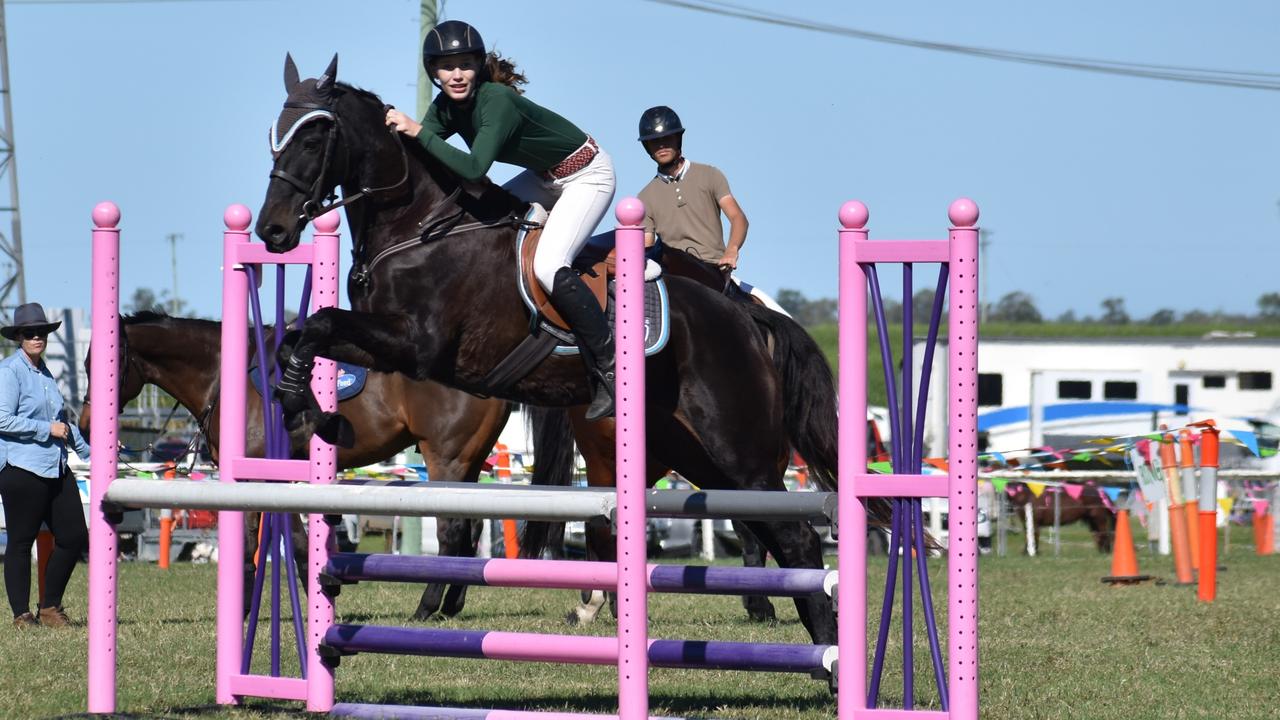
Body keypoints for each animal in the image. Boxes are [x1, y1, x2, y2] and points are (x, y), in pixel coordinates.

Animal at [77, 311, 509, 620]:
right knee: (471, 528)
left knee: (452, 532)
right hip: (469, 463)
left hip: (446, 458)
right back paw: (451, 604)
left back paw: (426, 607)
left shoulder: (263, 478)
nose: (84, 427)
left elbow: (272, 544)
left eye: (103, 364)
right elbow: (285, 544)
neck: (224, 376)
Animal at [249, 54, 870, 638]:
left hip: (737, 448)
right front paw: (306, 409)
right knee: (768, 531)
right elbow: (307, 332)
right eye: (273, 137)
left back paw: (826, 647)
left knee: (795, 538)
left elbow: (322, 324)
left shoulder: (416, 345)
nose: (272, 232)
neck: (419, 228)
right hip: (696, 452)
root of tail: (745, 314)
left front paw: (306, 411)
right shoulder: (385, 344)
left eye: (313, 137)